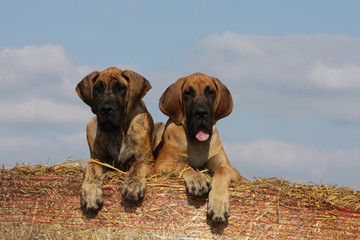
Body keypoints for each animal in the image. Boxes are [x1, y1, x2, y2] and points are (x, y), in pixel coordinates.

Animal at [75, 67, 154, 216]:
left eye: (121, 89)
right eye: (97, 89)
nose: (106, 109)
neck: (118, 132)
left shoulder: (147, 160)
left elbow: (137, 166)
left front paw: (133, 185)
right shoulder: (97, 159)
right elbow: (92, 168)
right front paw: (91, 192)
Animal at [153, 72, 240, 222]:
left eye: (211, 92)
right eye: (188, 93)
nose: (201, 113)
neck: (196, 143)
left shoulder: (233, 171)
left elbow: (222, 170)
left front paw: (218, 204)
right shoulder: (160, 165)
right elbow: (182, 164)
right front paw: (197, 179)